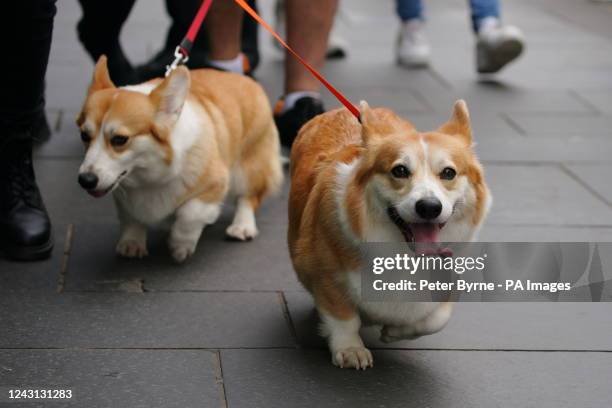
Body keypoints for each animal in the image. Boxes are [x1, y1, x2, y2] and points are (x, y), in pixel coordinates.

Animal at [76, 56, 282, 262]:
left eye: (119, 139)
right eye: (84, 135)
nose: (85, 180)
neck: (148, 177)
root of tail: (247, 80)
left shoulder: (216, 181)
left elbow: (190, 213)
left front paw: (180, 245)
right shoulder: (123, 195)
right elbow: (130, 217)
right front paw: (131, 243)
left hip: (247, 168)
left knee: (248, 197)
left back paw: (242, 226)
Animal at [288, 99, 492, 370]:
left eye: (448, 173)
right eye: (400, 171)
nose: (429, 207)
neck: (403, 253)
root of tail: (336, 111)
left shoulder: (449, 277)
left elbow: (437, 318)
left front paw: (394, 332)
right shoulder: (324, 271)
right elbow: (344, 317)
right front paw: (350, 349)